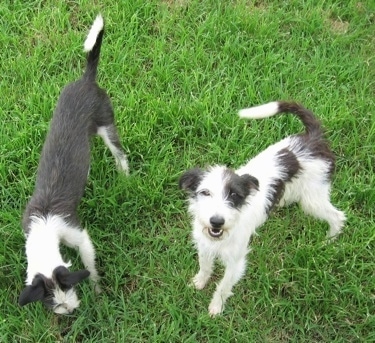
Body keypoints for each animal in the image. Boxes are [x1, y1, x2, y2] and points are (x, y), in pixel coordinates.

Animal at [18, 14, 130, 314]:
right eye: (50, 300)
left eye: (67, 287)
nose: (68, 310)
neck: (44, 226)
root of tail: (85, 80)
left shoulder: (78, 235)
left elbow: (90, 265)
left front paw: (98, 290)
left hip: (106, 124)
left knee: (120, 154)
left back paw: (125, 175)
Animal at [179, 102, 346, 318]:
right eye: (205, 193)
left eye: (234, 195)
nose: (217, 221)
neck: (223, 235)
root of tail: (313, 139)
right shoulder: (205, 246)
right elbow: (204, 267)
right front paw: (199, 282)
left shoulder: (236, 261)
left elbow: (224, 286)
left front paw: (216, 307)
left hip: (312, 199)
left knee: (337, 216)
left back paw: (329, 241)